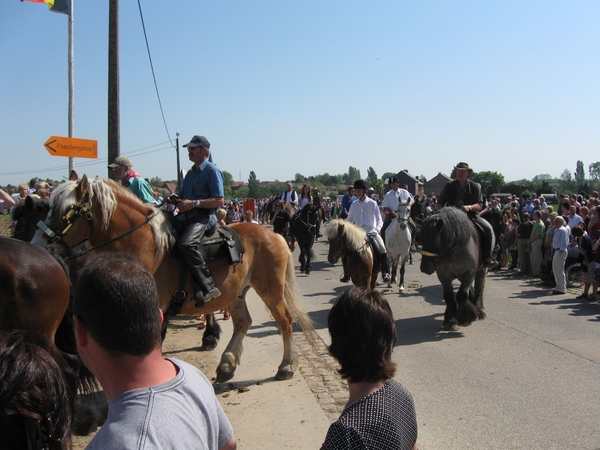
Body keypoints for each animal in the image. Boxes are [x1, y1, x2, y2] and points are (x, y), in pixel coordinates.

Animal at [31, 176, 318, 384]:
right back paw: (226, 365)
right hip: (236, 292)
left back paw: (286, 366)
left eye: (68, 212)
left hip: (271, 290)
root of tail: (275, 235)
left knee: (285, 321)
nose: (38, 244)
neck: (143, 246)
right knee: (243, 323)